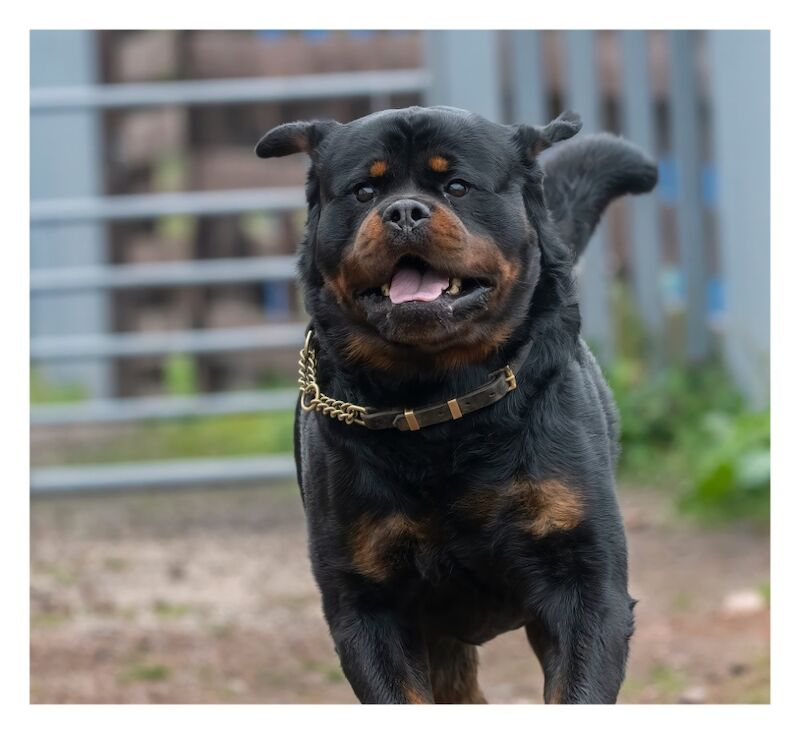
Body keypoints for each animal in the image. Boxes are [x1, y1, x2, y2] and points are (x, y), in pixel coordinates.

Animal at [255, 106, 656, 704]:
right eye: (364, 190)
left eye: (457, 186)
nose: (402, 211)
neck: (439, 402)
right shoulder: (366, 605)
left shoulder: (584, 585)